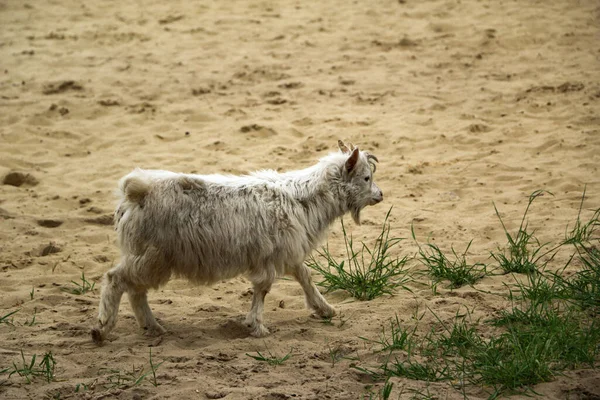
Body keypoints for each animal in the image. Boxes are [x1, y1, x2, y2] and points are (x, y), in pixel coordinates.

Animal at [91, 141, 382, 344]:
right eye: (366, 177)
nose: (380, 195)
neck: (301, 198)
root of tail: (136, 190)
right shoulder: (270, 256)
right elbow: (264, 289)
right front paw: (257, 326)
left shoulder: (286, 252)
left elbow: (305, 277)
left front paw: (325, 309)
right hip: (151, 256)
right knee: (117, 280)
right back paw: (102, 328)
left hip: (149, 257)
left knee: (135, 290)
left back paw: (152, 327)